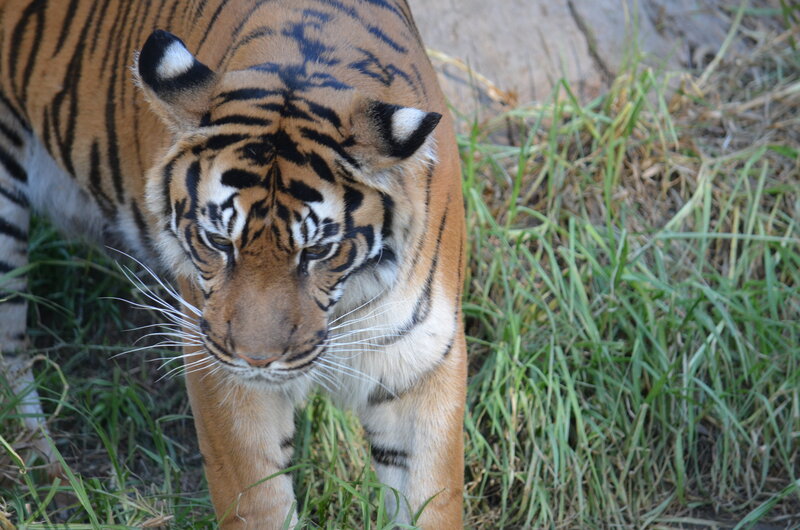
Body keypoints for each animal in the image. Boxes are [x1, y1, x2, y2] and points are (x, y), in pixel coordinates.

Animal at [0, 0, 466, 527]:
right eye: (219, 242)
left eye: (316, 252)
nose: (256, 360)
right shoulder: (220, 367)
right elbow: (259, 499)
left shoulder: (421, 366)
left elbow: (431, 500)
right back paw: (49, 477)